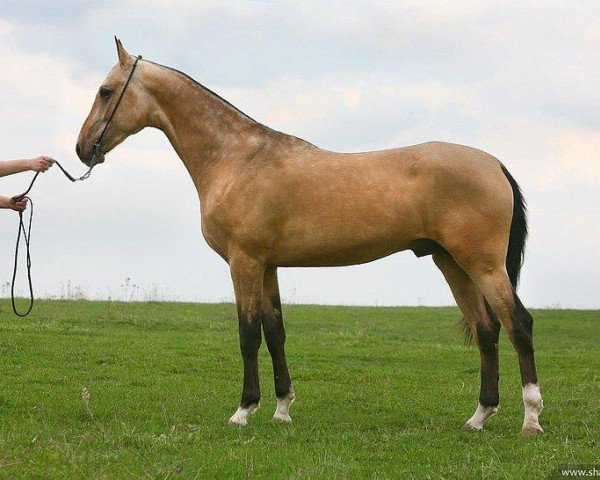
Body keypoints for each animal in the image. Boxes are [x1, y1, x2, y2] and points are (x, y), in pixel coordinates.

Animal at [76, 39, 544, 434]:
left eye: (105, 91)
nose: (82, 149)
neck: (236, 158)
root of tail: (494, 164)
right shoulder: (268, 266)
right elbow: (275, 332)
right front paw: (282, 408)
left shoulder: (244, 261)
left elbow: (248, 334)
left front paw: (243, 410)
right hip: (452, 263)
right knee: (486, 330)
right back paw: (478, 417)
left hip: (482, 265)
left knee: (518, 324)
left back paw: (531, 419)